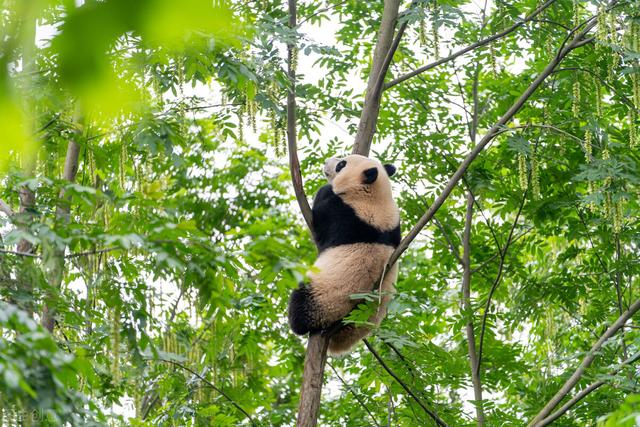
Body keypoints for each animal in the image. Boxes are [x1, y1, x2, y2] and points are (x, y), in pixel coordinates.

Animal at [288, 154, 400, 354]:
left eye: (341, 164)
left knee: (301, 305)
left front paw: (325, 189)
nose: (326, 162)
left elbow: (322, 218)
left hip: (324, 299)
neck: (375, 197)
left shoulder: (346, 214)